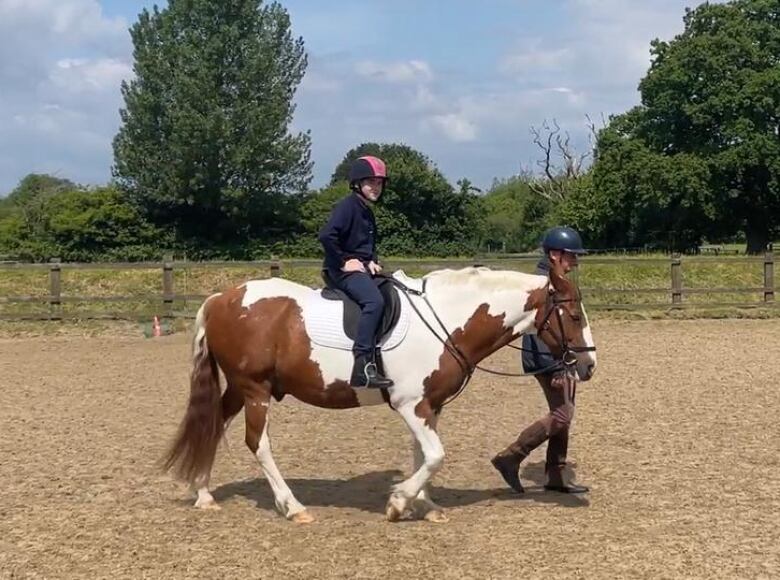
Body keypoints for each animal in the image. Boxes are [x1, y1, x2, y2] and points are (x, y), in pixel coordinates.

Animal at [163, 260, 596, 524]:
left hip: (240, 388)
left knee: (214, 425)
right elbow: (435, 455)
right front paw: (399, 502)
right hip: (256, 390)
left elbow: (423, 454)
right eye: (574, 316)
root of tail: (221, 298)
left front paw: (425, 504)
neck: (447, 320)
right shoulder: (411, 405)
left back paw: (203, 494)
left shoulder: (428, 406)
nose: (588, 365)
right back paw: (293, 506)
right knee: (259, 444)